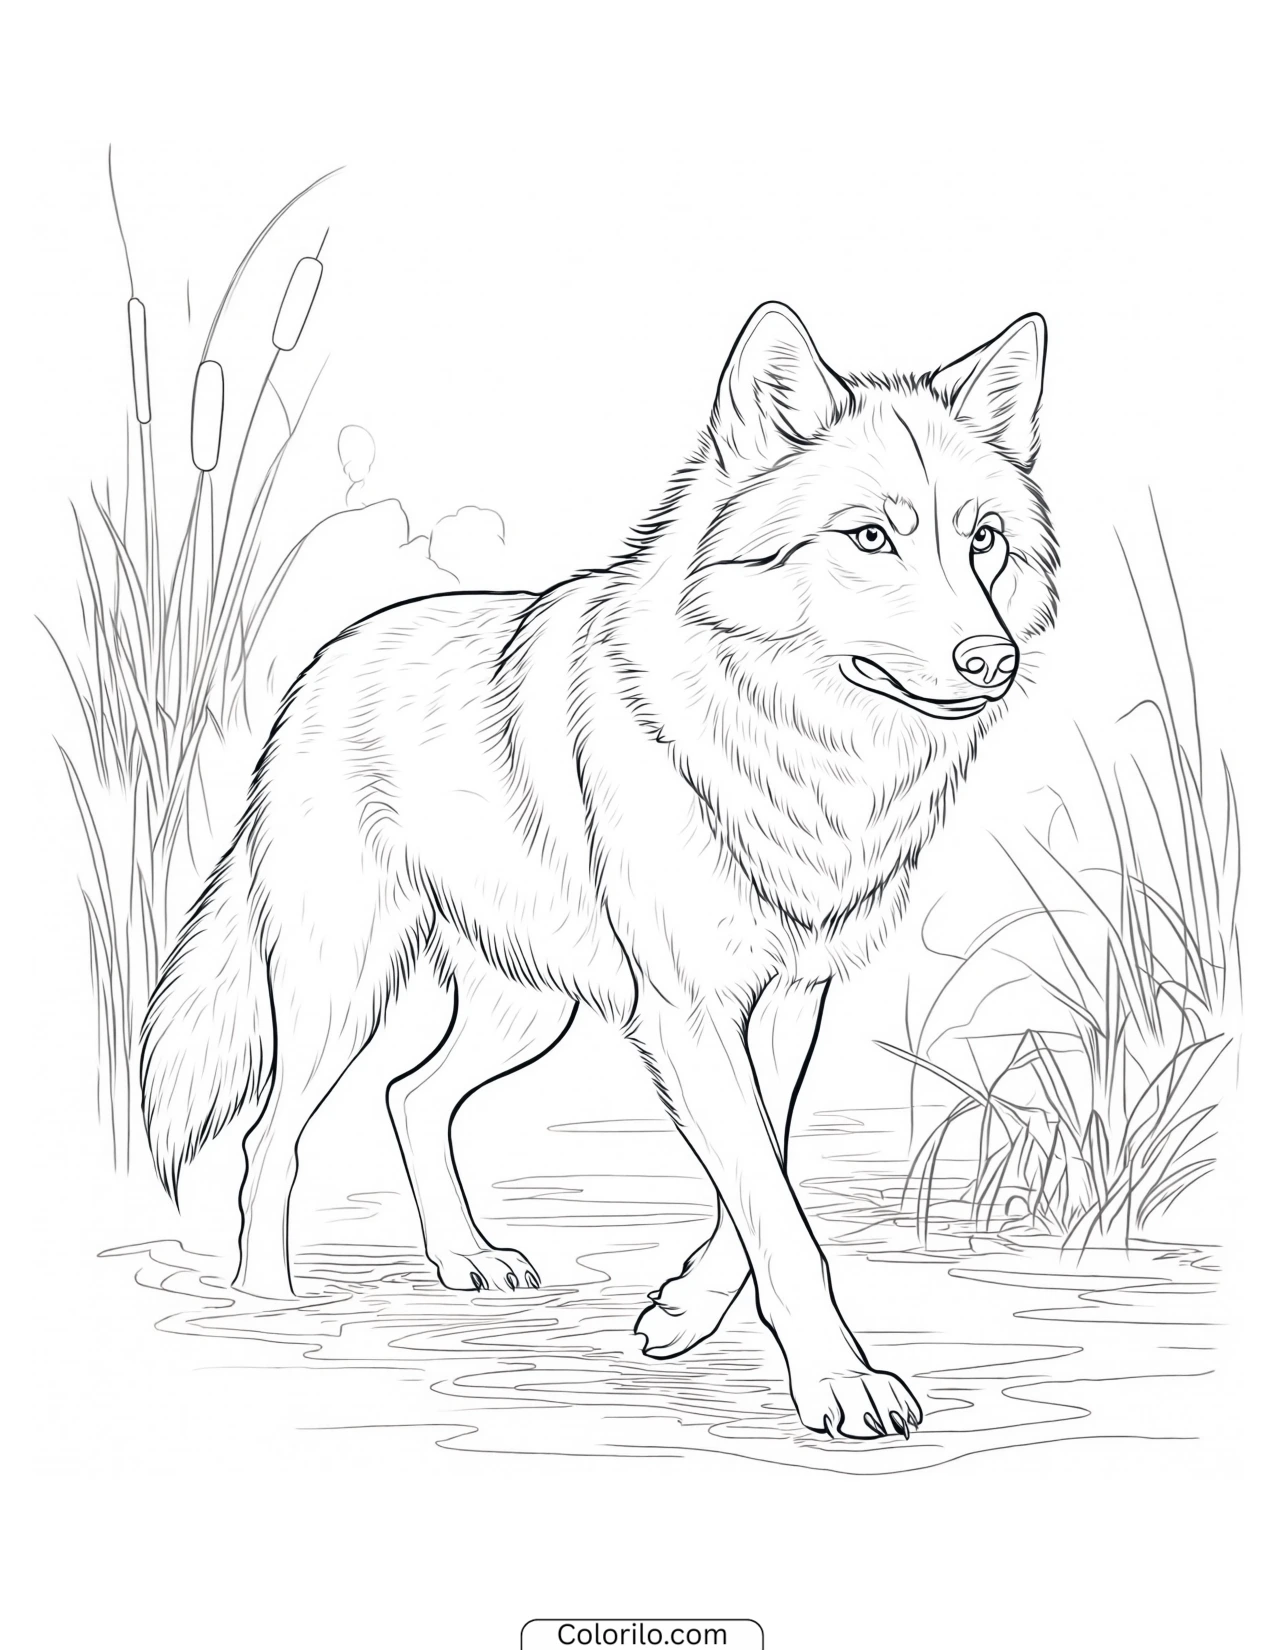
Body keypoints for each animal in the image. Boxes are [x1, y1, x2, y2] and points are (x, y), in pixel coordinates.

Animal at [141, 302, 1057, 1440]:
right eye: (870, 537)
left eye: (983, 540)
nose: (992, 660)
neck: (797, 753)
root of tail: (322, 662)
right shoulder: (691, 1012)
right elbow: (777, 1213)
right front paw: (842, 1384)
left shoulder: (785, 1004)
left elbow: (763, 1181)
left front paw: (682, 1312)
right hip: (334, 996)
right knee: (274, 1138)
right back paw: (264, 1296)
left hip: (526, 1012)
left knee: (410, 1095)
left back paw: (465, 1258)